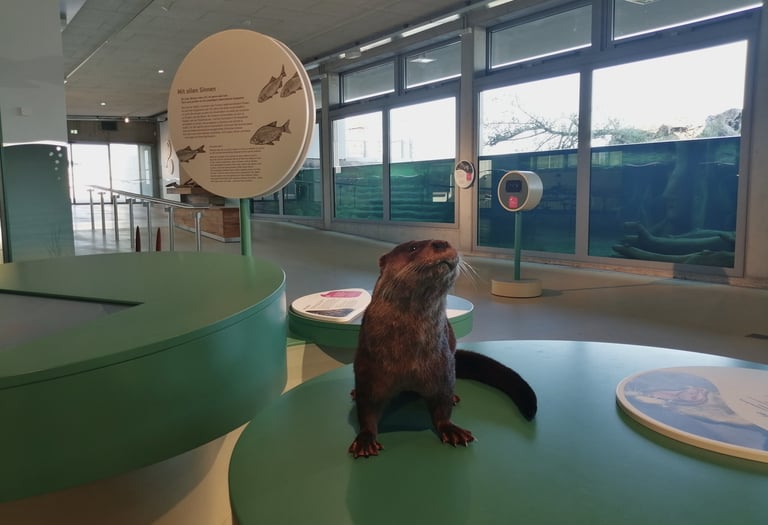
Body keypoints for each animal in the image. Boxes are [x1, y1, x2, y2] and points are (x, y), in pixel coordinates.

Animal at [348, 239, 537, 458]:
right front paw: (365, 440)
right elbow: (367, 409)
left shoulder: (443, 368)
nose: (442, 242)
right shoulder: (369, 370)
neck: (408, 357)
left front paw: (451, 429)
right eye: (412, 248)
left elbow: (442, 404)